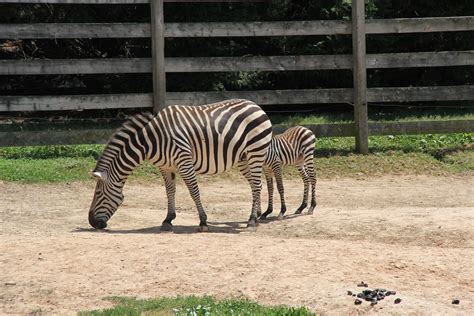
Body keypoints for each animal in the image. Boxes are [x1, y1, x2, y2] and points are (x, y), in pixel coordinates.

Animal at [87, 99, 272, 232]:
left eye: (97, 193)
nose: (92, 223)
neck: (152, 141)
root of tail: (255, 105)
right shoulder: (165, 167)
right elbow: (170, 191)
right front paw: (168, 220)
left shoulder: (184, 161)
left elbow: (193, 191)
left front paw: (203, 221)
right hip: (243, 158)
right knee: (255, 185)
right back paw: (257, 215)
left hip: (255, 152)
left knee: (257, 185)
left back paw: (252, 222)